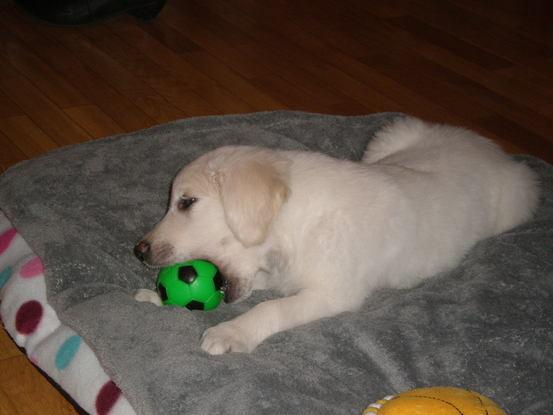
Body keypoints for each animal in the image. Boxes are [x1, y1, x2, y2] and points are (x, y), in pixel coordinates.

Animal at [135, 116, 540, 354]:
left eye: (186, 202)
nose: (139, 250)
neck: (294, 224)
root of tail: (491, 146)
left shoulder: (335, 292)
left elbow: (273, 307)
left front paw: (232, 332)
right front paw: (156, 297)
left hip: (515, 202)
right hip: (392, 135)